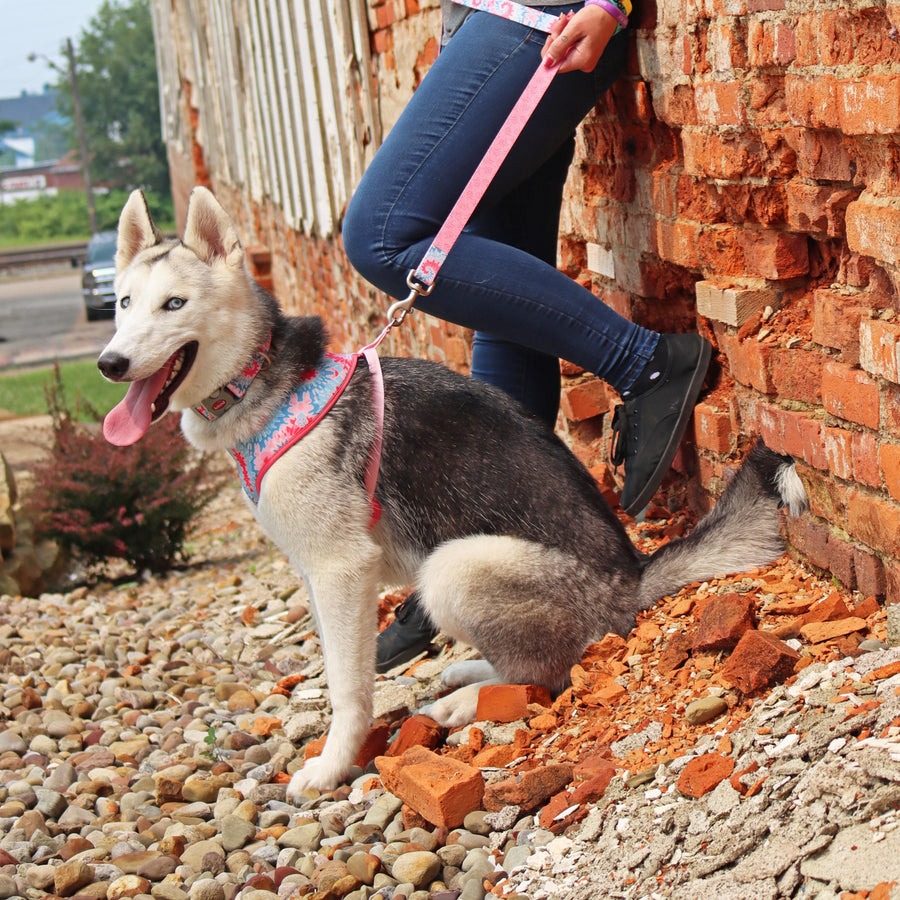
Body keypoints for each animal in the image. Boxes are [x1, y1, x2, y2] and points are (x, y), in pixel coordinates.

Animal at [98, 188, 808, 800]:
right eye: (123, 304)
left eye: (174, 305)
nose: (108, 363)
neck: (263, 384)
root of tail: (631, 579)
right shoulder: (314, 575)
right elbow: (336, 664)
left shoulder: (340, 570)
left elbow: (347, 687)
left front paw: (332, 765)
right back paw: (469, 674)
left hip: (453, 567)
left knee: (551, 671)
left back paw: (468, 699)